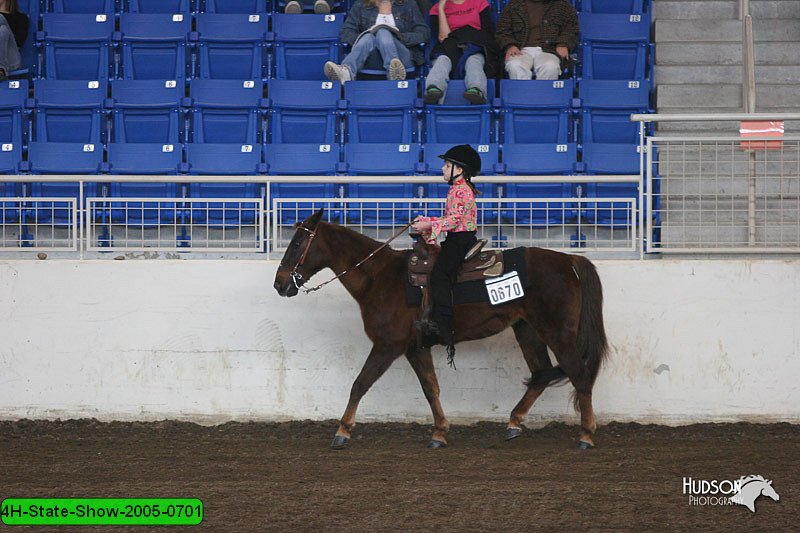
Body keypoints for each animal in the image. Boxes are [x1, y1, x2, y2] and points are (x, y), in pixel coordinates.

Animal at [272, 209, 608, 448]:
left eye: (298, 243)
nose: (279, 284)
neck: (378, 276)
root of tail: (568, 259)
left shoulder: (388, 345)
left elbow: (360, 383)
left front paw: (342, 431)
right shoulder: (415, 347)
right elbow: (430, 388)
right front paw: (439, 432)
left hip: (557, 333)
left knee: (579, 375)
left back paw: (586, 435)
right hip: (526, 329)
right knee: (541, 374)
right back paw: (513, 423)